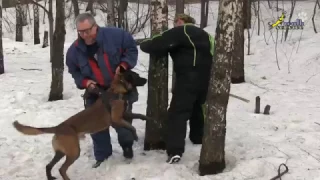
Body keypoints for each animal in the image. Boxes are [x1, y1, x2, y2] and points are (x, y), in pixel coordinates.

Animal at [12, 67, 152, 180]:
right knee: (61, 169)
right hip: (74, 152)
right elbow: (132, 127)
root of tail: (58, 127)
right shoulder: (117, 119)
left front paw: (149, 118)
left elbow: (139, 115)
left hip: (61, 152)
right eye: (137, 76)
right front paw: (135, 136)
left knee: (48, 165)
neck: (117, 90)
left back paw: (50, 177)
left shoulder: (125, 114)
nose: (146, 79)